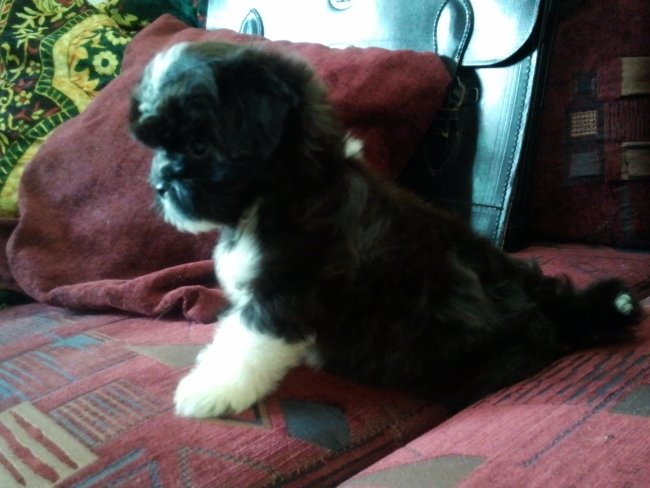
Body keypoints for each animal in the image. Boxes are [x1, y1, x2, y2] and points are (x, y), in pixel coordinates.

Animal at [129, 40, 642, 418]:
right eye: (159, 148)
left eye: (198, 147)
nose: (159, 184)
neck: (287, 188)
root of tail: (550, 311)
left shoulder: (291, 288)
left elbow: (247, 341)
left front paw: (211, 390)